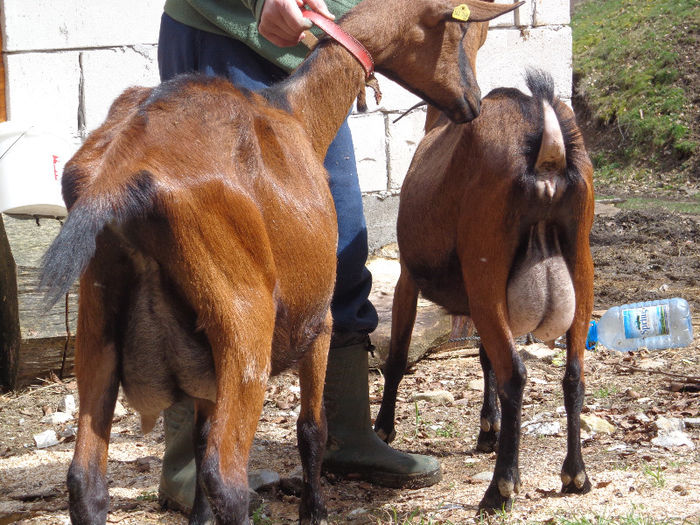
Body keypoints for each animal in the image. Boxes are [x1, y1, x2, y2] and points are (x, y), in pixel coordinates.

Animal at [374, 70, 592, 512]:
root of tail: (547, 150)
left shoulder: (407, 277)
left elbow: (399, 355)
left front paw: (384, 429)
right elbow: (483, 356)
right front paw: (488, 429)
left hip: (485, 265)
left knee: (516, 374)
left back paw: (501, 486)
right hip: (579, 263)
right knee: (574, 372)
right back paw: (575, 474)